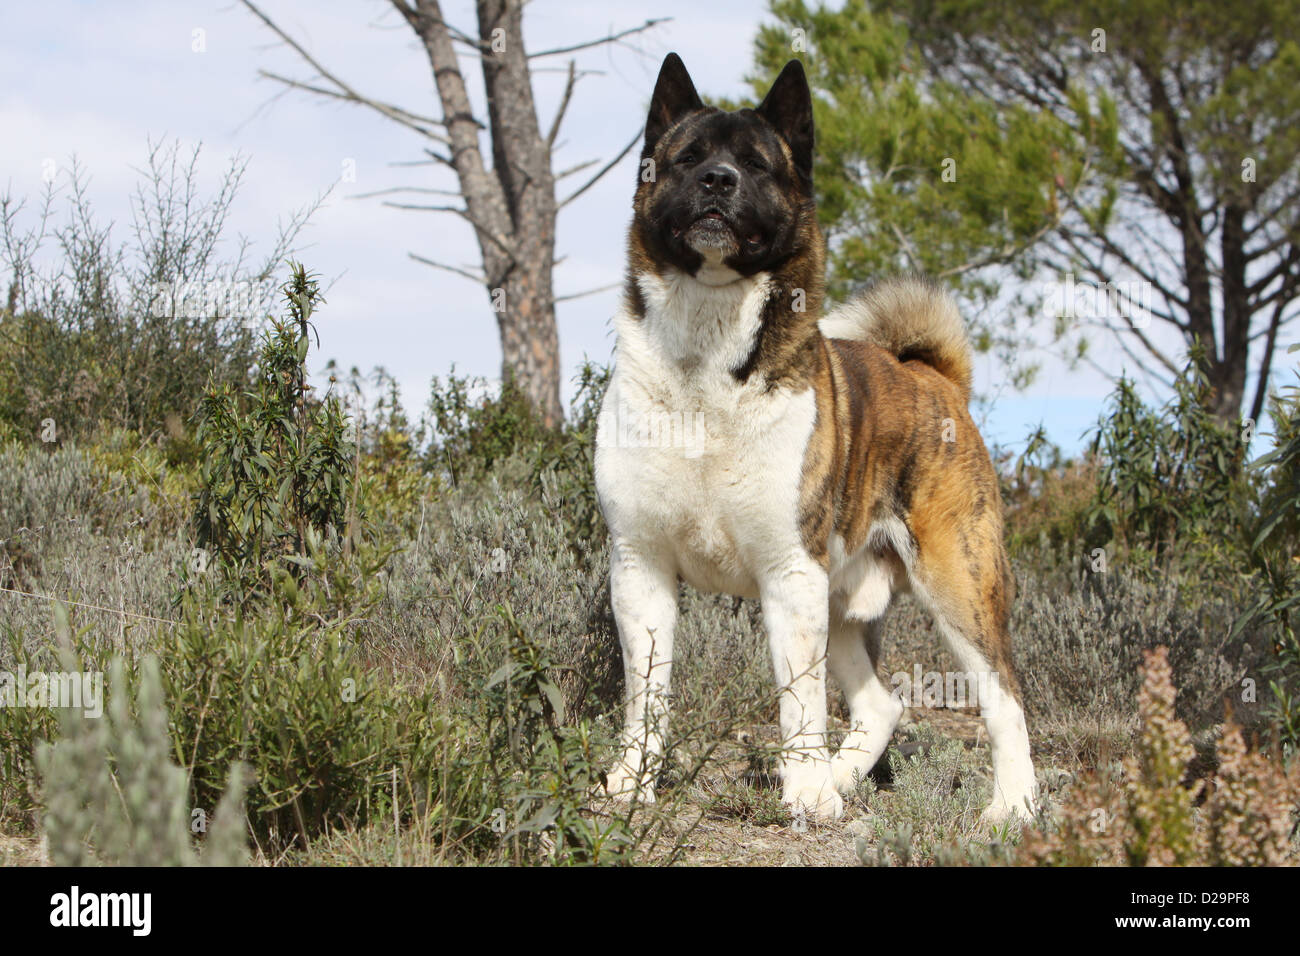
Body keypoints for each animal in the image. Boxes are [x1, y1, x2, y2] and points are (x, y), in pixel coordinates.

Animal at [595, 52, 1034, 822]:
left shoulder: (790, 573)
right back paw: (842, 776)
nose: (718, 181)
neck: (706, 359)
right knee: (882, 706)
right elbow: (647, 691)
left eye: (756, 164)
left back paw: (1013, 808)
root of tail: (936, 378)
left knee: (1005, 699)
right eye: (688, 158)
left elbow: (797, 699)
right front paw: (633, 782)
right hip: (843, 600)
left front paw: (801, 793)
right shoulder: (640, 568)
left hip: (958, 583)